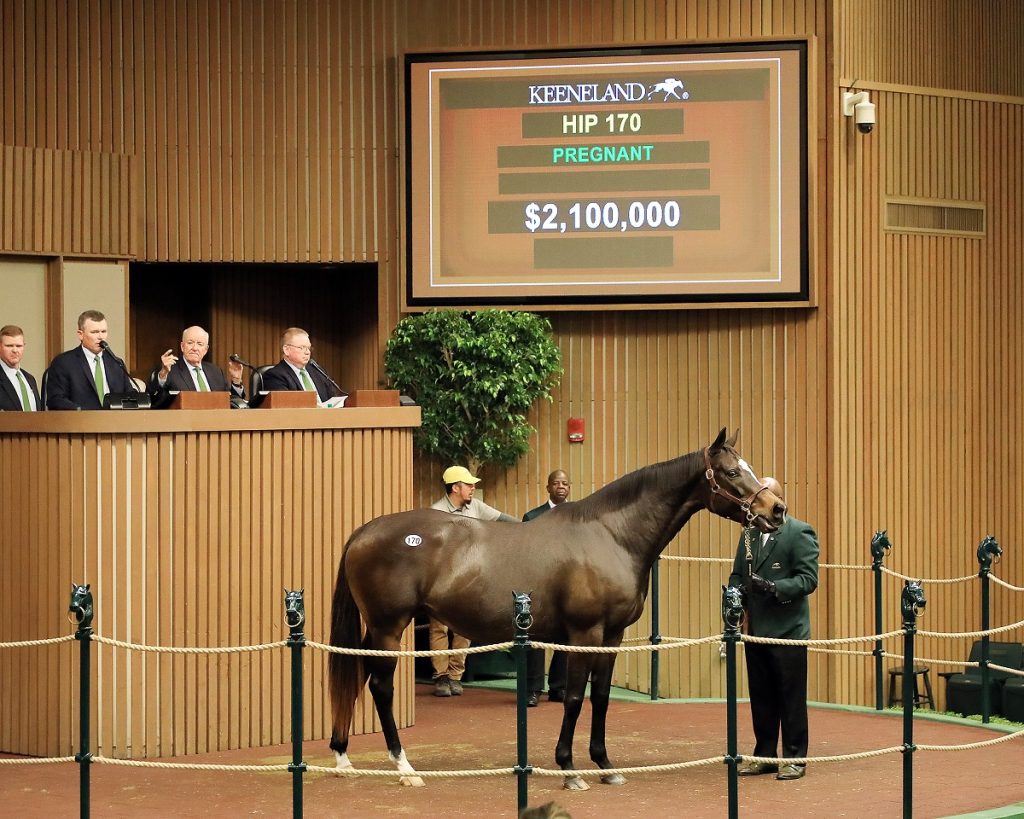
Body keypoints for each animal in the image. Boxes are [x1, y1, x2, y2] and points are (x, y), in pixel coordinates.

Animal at [327, 427, 782, 786]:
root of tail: (364, 531)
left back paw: (343, 756)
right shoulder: (585, 633)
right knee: (380, 686)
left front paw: (605, 764)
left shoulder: (612, 636)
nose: (776, 509)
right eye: (731, 472)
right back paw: (404, 768)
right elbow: (576, 698)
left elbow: (601, 696)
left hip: (377, 629)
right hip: (389, 627)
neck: (611, 535)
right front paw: (569, 768)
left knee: (357, 674)